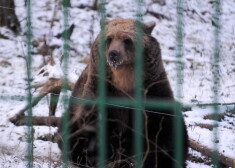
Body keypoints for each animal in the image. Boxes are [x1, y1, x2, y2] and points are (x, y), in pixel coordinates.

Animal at [57, 17, 188, 167]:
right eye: (109, 38)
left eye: (127, 40)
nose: (113, 54)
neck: (124, 79)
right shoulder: (102, 91)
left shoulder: (153, 90)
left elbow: (163, 130)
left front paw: (160, 159)